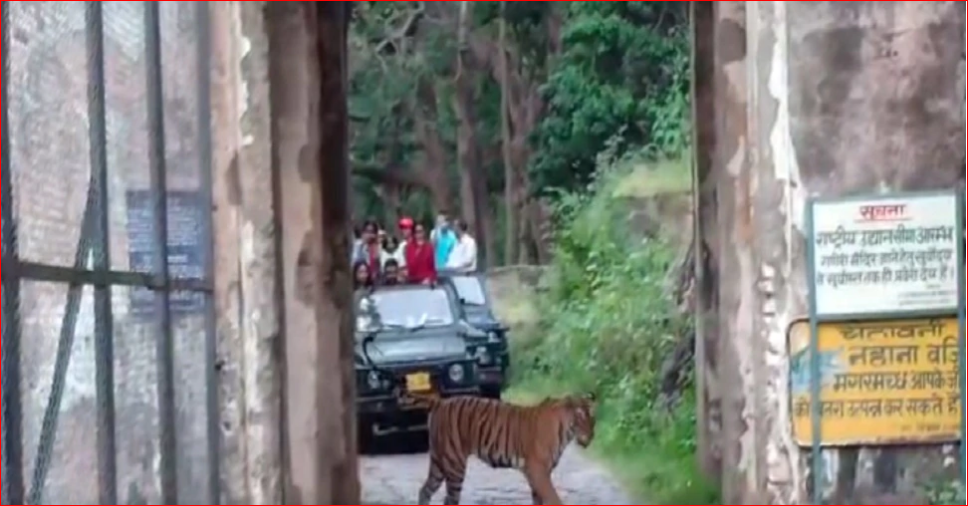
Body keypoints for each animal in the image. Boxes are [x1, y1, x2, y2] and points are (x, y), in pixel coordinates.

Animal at [402, 392, 596, 502]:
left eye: (593, 418)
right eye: (580, 417)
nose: (591, 436)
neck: (565, 432)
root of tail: (440, 402)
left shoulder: (538, 475)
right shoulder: (538, 471)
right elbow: (554, 499)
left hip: (439, 462)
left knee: (425, 491)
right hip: (454, 463)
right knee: (449, 499)